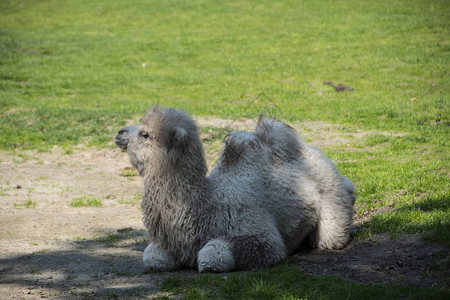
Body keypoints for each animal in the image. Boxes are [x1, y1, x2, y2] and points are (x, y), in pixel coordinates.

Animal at [115, 106, 356, 272]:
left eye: (145, 134)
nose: (120, 132)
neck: (206, 208)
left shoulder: (260, 235)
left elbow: (211, 255)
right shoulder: (173, 243)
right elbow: (152, 257)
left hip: (330, 190)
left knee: (331, 234)